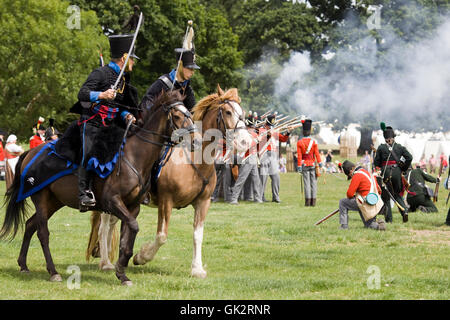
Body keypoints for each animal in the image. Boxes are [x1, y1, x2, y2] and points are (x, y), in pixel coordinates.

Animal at [0, 89, 197, 284]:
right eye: (177, 115)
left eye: (189, 113)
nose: (195, 140)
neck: (134, 156)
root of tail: (29, 153)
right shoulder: (113, 202)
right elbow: (133, 228)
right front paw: (122, 267)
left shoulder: (132, 207)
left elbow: (127, 238)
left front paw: (122, 273)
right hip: (41, 198)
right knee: (42, 232)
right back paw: (53, 272)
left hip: (54, 202)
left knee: (30, 225)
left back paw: (23, 265)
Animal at [85, 85, 251, 278]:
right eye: (228, 112)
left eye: (242, 112)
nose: (246, 142)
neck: (193, 160)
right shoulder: (166, 201)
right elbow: (162, 236)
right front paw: (141, 257)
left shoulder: (203, 202)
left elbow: (198, 235)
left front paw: (197, 269)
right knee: (104, 227)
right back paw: (105, 262)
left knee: (111, 224)